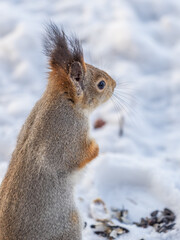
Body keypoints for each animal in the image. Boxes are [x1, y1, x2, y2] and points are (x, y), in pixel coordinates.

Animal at [0, 23, 115, 240]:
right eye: (101, 84)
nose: (114, 84)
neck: (60, 100)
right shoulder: (70, 135)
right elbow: (82, 155)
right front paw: (97, 146)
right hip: (68, 225)